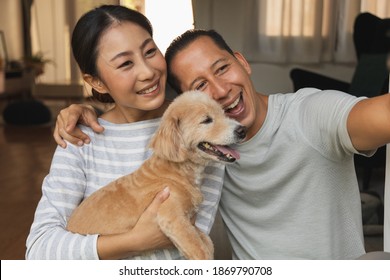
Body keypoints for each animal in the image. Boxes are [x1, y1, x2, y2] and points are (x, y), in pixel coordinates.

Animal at [65, 91, 245, 260]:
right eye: (207, 120)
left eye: (223, 113)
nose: (242, 130)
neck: (177, 171)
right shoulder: (173, 218)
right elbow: (200, 250)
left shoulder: (189, 223)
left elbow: (207, 242)